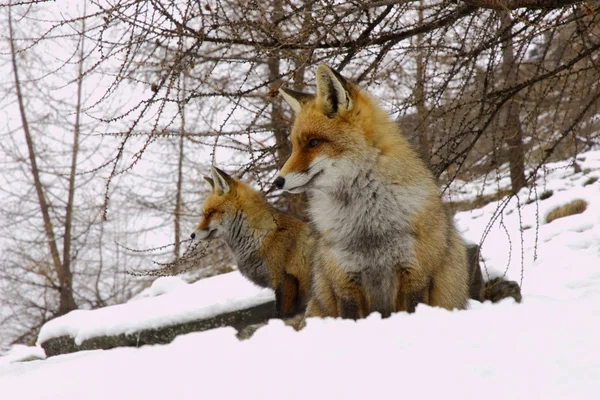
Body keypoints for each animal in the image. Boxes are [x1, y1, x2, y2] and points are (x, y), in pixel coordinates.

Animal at [191, 166, 314, 318]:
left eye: (209, 213)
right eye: (205, 214)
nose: (192, 235)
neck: (263, 236)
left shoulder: (285, 281)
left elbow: (280, 316)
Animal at [274, 64, 472, 318]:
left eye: (314, 143)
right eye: (294, 146)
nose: (277, 182)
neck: (368, 225)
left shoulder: (415, 276)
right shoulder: (346, 282)